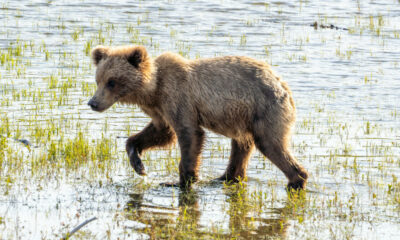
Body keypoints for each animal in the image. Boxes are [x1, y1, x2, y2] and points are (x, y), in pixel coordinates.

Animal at [88, 46, 310, 190]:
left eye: (112, 82)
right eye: (98, 80)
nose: (93, 102)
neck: (153, 90)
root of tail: (284, 86)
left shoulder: (179, 99)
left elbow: (189, 134)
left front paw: (180, 180)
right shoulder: (160, 110)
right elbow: (161, 133)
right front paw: (138, 164)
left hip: (266, 110)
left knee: (270, 144)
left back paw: (296, 180)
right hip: (244, 117)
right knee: (241, 146)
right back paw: (226, 177)